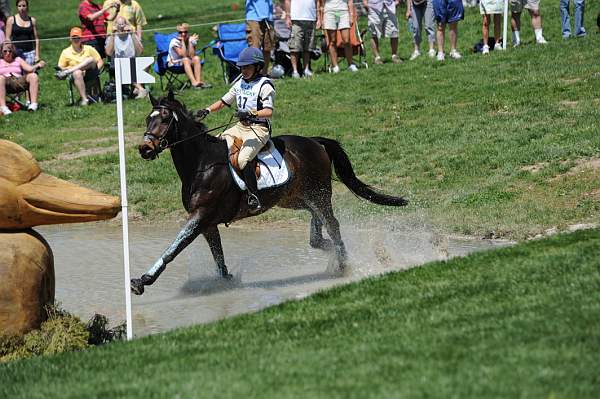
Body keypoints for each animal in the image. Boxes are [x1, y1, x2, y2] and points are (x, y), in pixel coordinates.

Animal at [131, 92, 408, 296]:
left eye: (164, 119)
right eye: (147, 119)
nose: (145, 149)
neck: (202, 164)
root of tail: (315, 141)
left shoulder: (200, 216)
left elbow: (173, 248)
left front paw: (142, 281)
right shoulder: (207, 223)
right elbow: (218, 256)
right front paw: (227, 280)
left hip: (318, 194)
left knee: (332, 224)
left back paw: (342, 262)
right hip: (296, 197)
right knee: (317, 224)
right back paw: (327, 248)